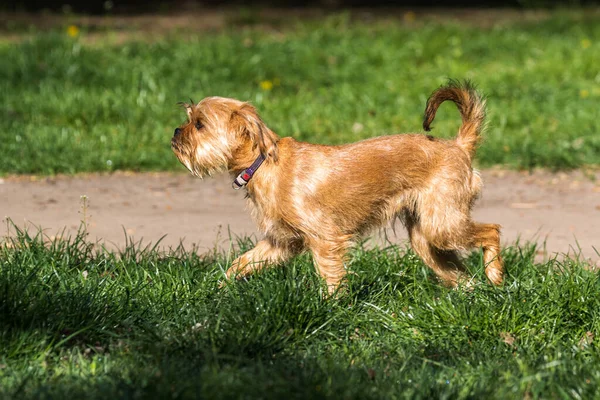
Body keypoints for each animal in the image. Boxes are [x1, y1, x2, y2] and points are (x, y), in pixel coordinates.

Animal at [171, 81, 504, 294]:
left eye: (199, 125)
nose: (175, 131)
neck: (264, 163)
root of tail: (459, 146)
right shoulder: (279, 244)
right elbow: (242, 262)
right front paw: (219, 288)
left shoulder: (325, 239)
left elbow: (330, 277)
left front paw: (331, 308)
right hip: (427, 239)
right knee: (457, 272)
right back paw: (473, 294)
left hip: (443, 226)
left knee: (492, 231)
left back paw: (495, 275)